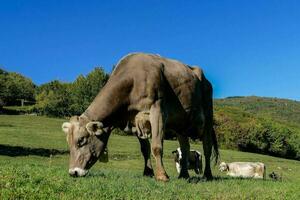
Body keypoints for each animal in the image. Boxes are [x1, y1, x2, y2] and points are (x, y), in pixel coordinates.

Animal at [62, 52, 218, 181]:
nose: (73, 172)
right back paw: (183, 175)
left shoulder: (157, 110)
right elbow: (145, 149)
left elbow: (156, 146)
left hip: (208, 116)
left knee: (207, 147)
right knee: (185, 147)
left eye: (81, 140)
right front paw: (148, 172)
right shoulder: (135, 121)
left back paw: (207, 175)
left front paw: (162, 175)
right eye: (68, 142)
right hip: (181, 123)